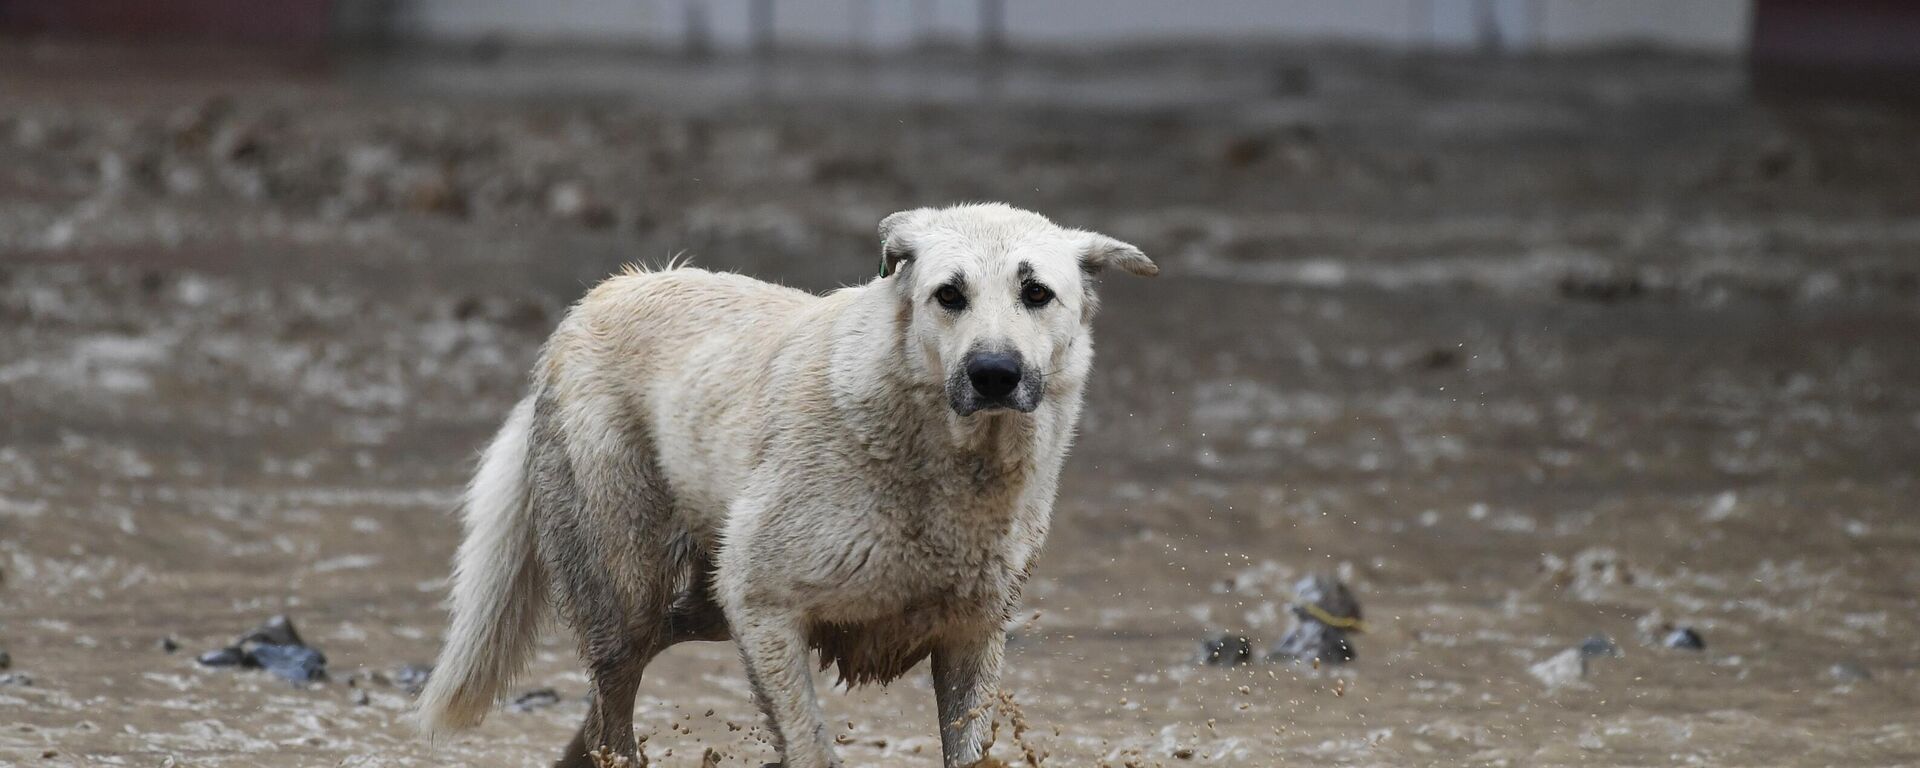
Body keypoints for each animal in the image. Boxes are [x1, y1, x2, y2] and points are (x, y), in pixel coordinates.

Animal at [414, 200, 1152, 764]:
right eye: (950, 294)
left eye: (1036, 293)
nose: (994, 373)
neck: (945, 462)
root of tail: (599, 297)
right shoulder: (762, 603)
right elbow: (811, 746)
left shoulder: (971, 635)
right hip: (629, 588)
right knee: (615, 699)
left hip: (703, 603)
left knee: (611, 699)